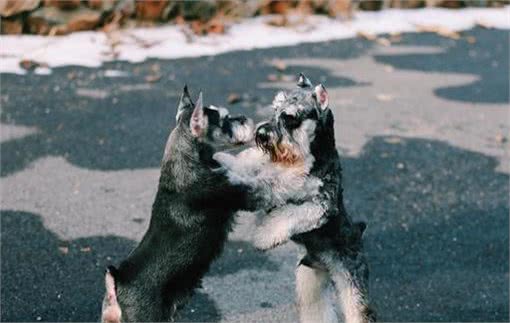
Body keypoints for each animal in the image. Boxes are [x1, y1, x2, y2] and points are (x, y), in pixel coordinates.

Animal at [213, 74, 376, 323]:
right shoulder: (272, 169)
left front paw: (264, 237)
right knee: (316, 311)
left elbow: (289, 214)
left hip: (350, 281)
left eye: (289, 117)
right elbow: (252, 159)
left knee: (358, 312)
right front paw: (224, 159)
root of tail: (358, 233)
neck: (310, 157)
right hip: (309, 280)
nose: (261, 134)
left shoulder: (320, 206)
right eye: (275, 108)